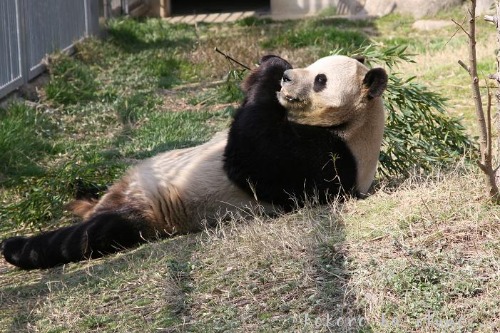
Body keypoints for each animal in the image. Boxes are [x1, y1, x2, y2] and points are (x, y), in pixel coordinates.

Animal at [0, 53, 388, 268]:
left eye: (321, 80)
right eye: (312, 66)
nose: (288, 78)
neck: (354, 125)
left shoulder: (327, 158)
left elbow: (252, 157)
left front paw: (271, 72)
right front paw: (270, 64)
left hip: (144, 214)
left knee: (89, 235)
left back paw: (19, 248)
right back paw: (79, 190)